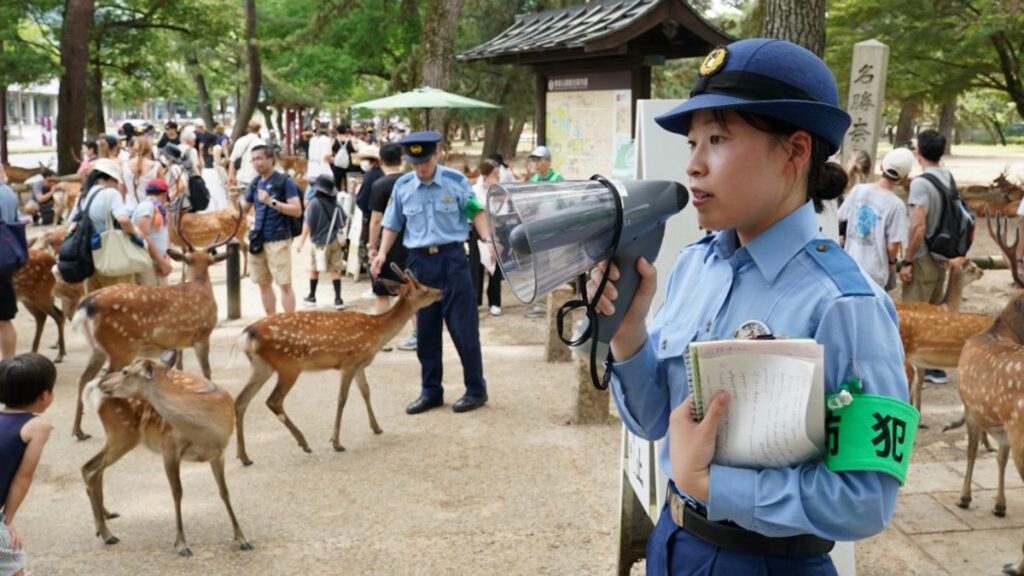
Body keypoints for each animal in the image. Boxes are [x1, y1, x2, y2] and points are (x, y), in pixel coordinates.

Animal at [70, 199, 243, 436]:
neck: (201, 287)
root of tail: (86, 305)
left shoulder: (178, 341)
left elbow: (180, 370)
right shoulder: (202, 333)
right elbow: (207, 371)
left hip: (97, 348)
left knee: (84, 379)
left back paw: (78, 430)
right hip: (121, 346)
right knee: (103, 380)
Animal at [81, 348, 253, 553]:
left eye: (125, 372)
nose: (103, 382)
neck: (205, 431)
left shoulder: (218, 453)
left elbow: (224, 492)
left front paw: (243, 539)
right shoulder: (169, 447)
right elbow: (177, 492)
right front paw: (181, 544)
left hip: (121, 436)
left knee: (92, 469)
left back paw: (105, 519)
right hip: (121, 433)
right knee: (91, 469)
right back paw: (107, 534)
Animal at [234, 262, 442, 463]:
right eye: (424, 289)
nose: (440, 291)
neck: (376, 332)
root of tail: (248, 334)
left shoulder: (359, 365)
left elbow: (366, 392)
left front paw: (376, 427)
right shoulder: (349, 362)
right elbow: (342, 399)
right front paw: (336, 442)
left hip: (262, 366)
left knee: (241, 400)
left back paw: (244, 456)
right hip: (289, 365)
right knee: (273, 401)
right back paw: (304, 443)